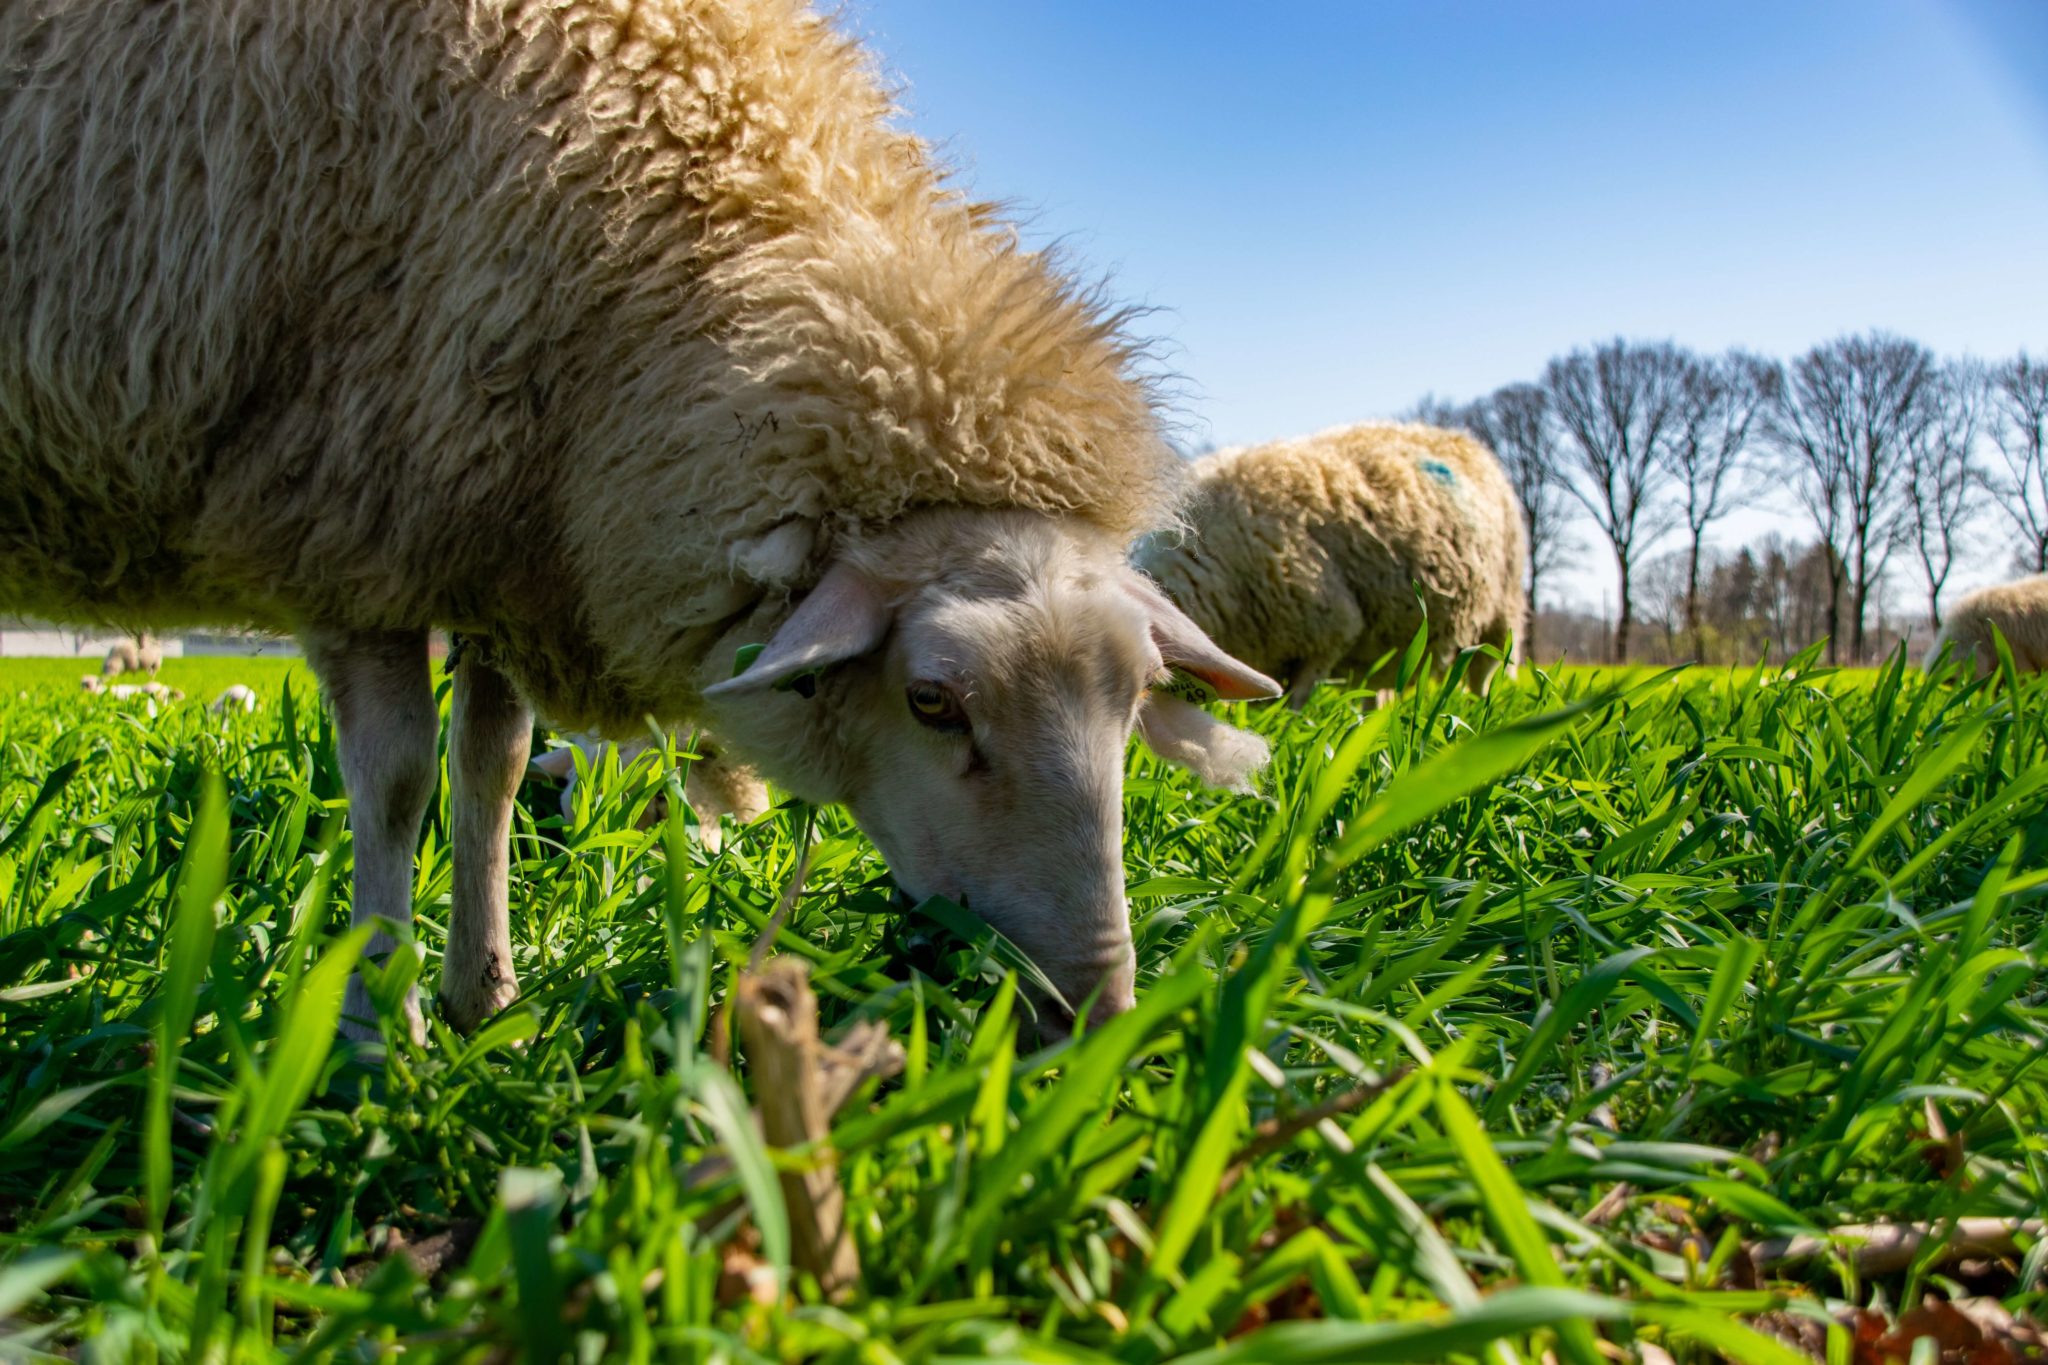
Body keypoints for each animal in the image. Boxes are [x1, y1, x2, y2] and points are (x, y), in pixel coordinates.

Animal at [0, 0, 1269, 1039]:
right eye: (930, 702)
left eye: (1137, 700)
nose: (1092, 1011)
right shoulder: (352, 517)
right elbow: (399, 783)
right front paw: (372, 1034)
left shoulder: (497, 543)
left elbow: (492, 767)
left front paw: (484, 1001)